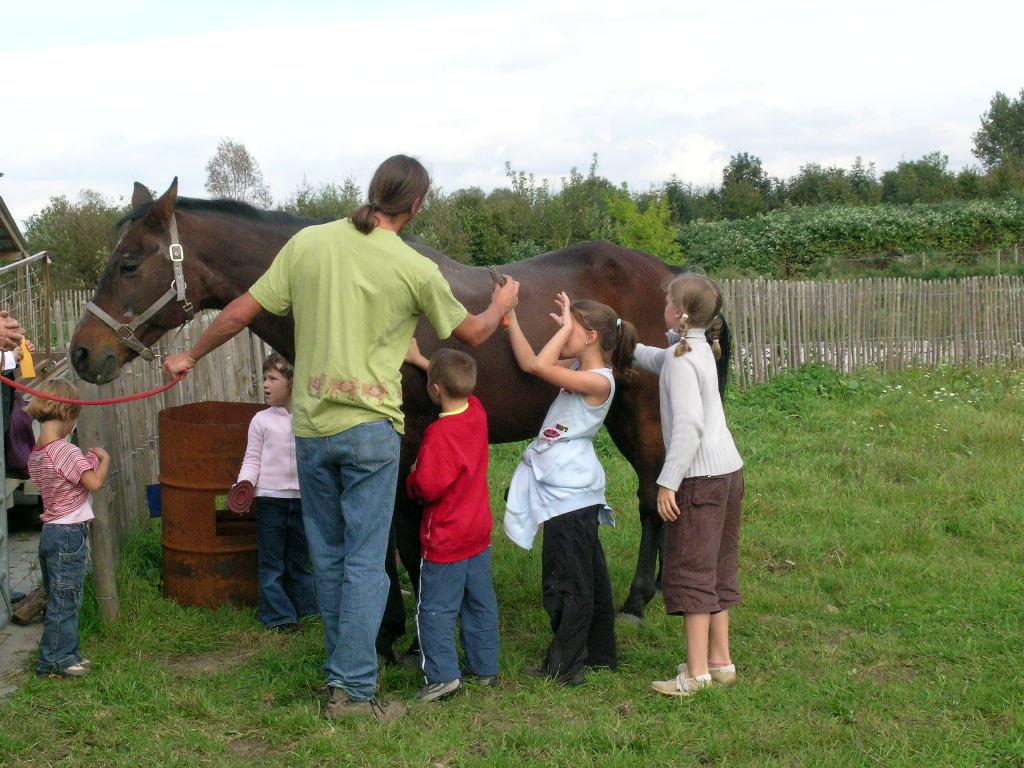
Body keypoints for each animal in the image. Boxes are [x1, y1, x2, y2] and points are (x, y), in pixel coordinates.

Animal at [70, 179, 729, 651]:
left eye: (130, 262)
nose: (82, 353)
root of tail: (673, 277)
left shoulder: (406, 440)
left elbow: (399, 534)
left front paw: (402, 633)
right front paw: (389, 627)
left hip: (641, 412)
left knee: (651, 497)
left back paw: (638, 602)